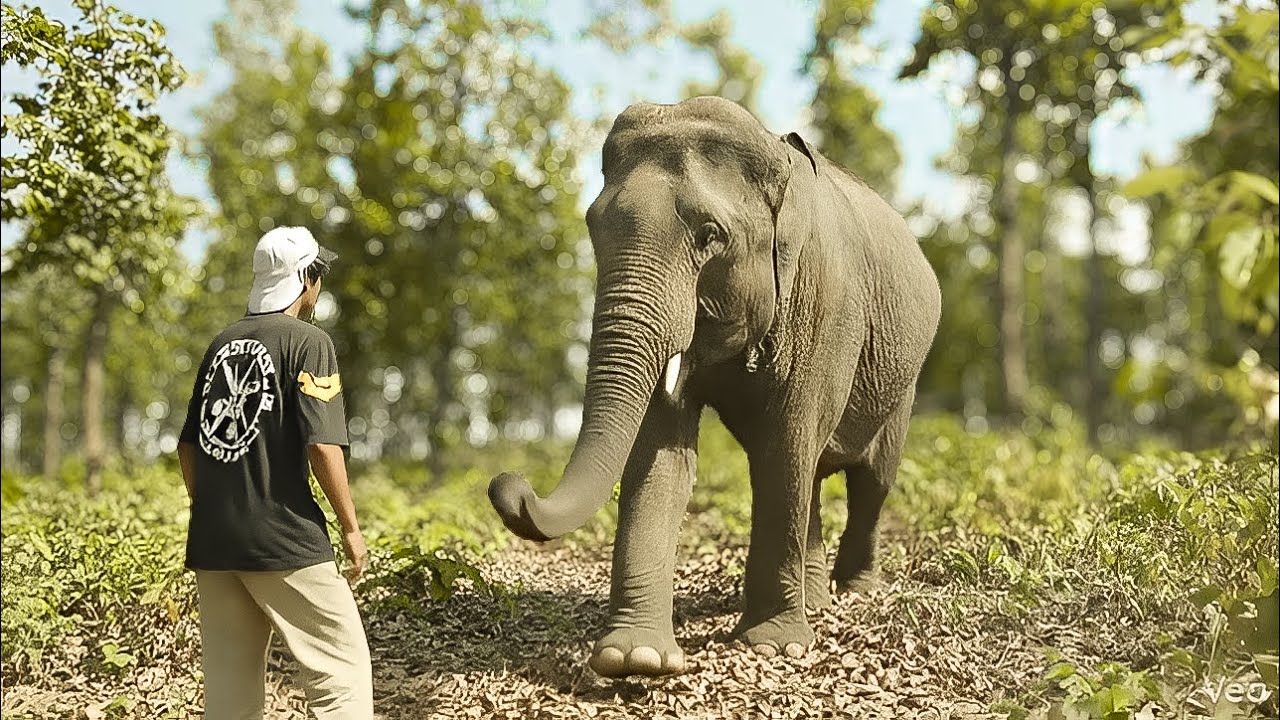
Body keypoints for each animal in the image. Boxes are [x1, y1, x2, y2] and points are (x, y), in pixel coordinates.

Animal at [489, 96, 941, 678]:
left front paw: (772, 647)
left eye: (710, 235)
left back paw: (855, 591)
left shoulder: (826, 307)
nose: (510, 484)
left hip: (906, 374)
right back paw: (816, 601)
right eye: (591, 226)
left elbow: (784, 449)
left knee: (869, 479)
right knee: (813, 475)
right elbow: (661, 455)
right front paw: (634, 658)